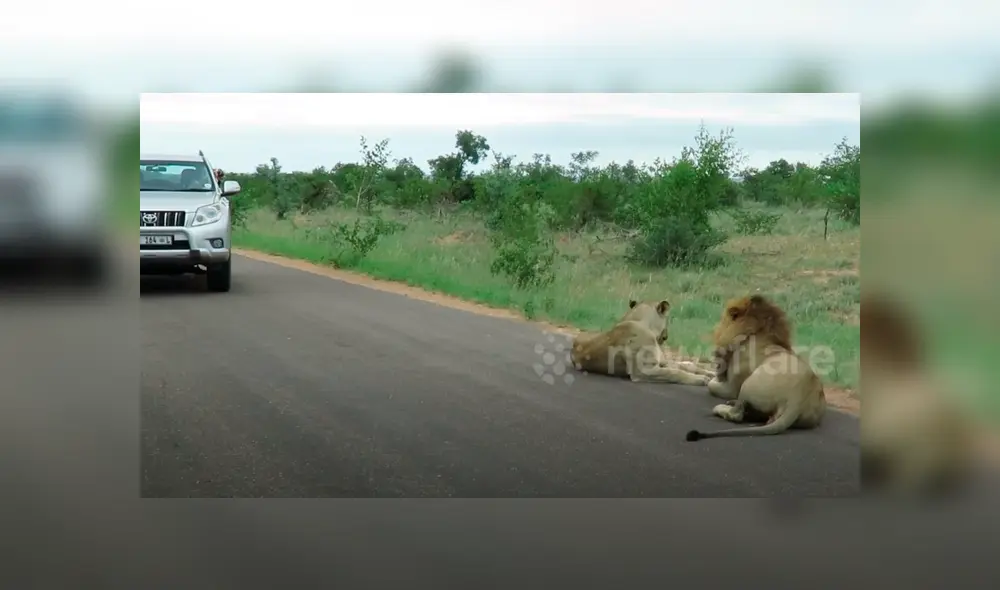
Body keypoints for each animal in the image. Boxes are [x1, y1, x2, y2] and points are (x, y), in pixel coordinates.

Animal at [570, 299, 715, 386]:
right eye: (668, 319)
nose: (666, 335)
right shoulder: (643, 371)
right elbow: (674, 373)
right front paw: (701, 379)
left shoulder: (660, 362)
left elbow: (683, 367)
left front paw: (710, 374)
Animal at [685, 294, 827, 441]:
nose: (715, 327)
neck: (748, 337)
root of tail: (797, 398)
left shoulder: (731, 388)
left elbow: (711, 386)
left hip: (748, 384)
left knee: (737, 414)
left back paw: (722, 407)